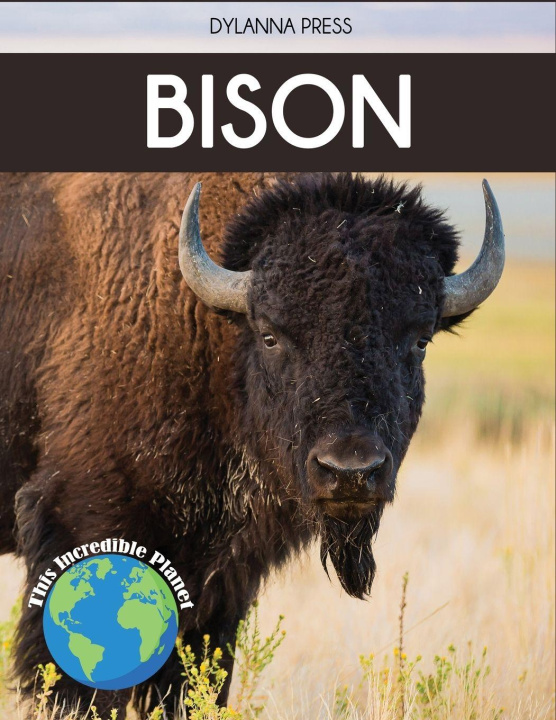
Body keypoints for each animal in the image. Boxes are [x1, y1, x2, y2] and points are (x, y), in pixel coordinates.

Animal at [0, 171, 504, 716]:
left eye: (419, 340)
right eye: (270, 335)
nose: (350, 471)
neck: (209, 330)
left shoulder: (221, 577)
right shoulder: (81, 522)